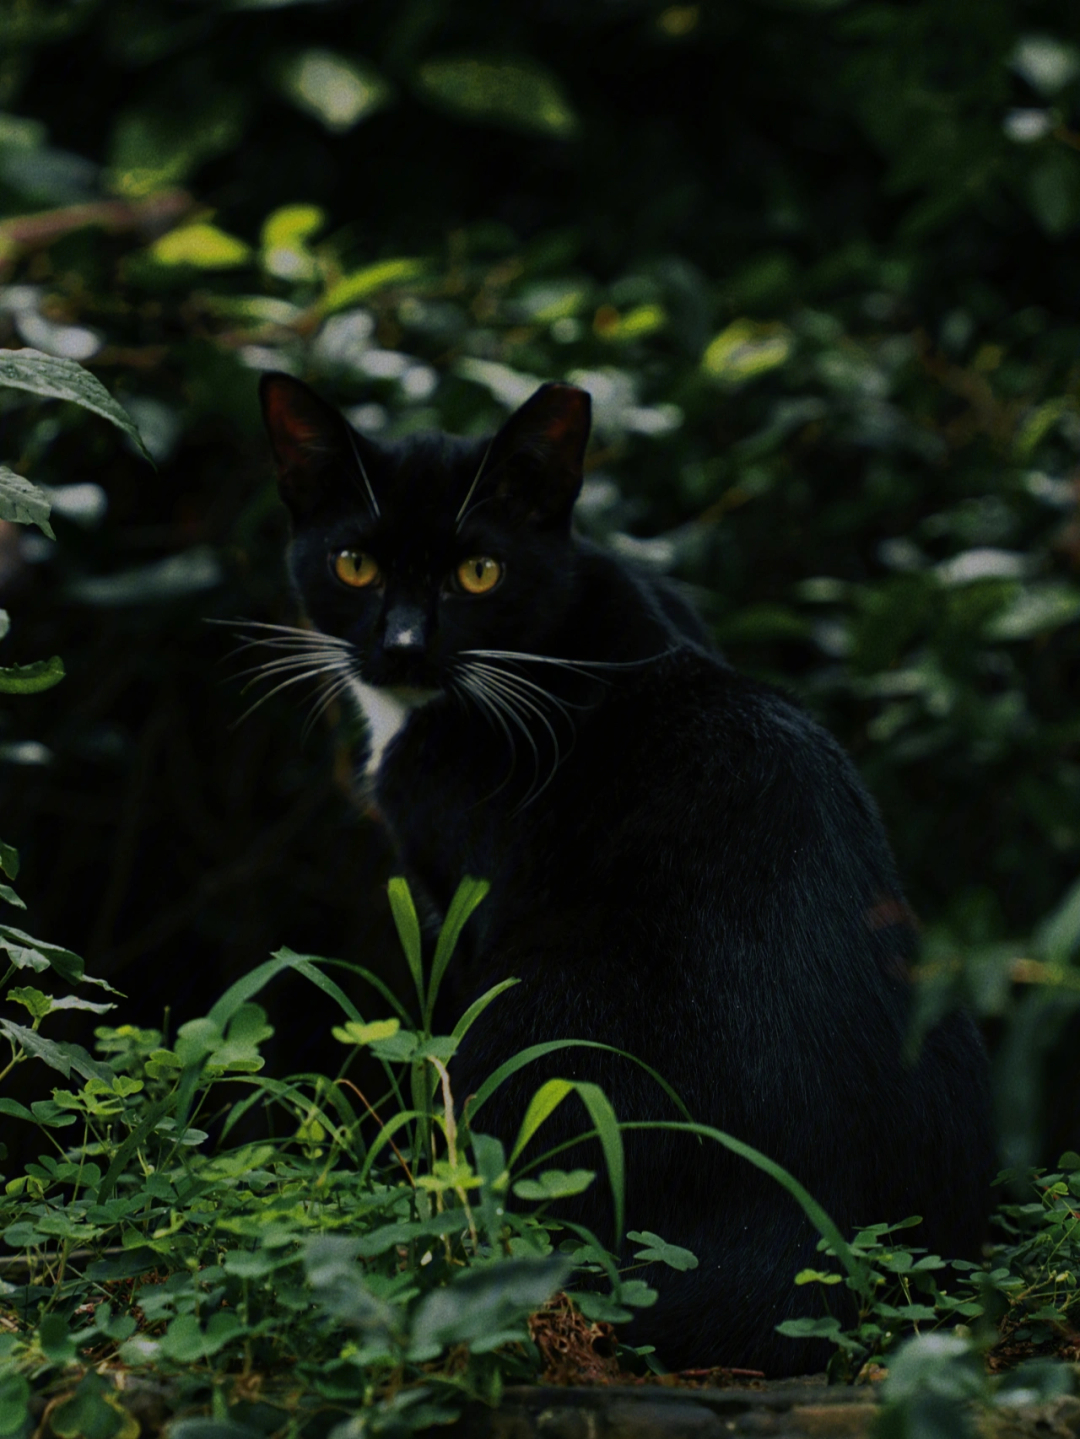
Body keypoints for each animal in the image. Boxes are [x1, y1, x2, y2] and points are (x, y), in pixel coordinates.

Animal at [257, 371, 995, 1369]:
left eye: (478, 572)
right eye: (354, 565)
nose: (403, 645)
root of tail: (816, 1239)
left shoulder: (464, 900)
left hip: (539, 1011)